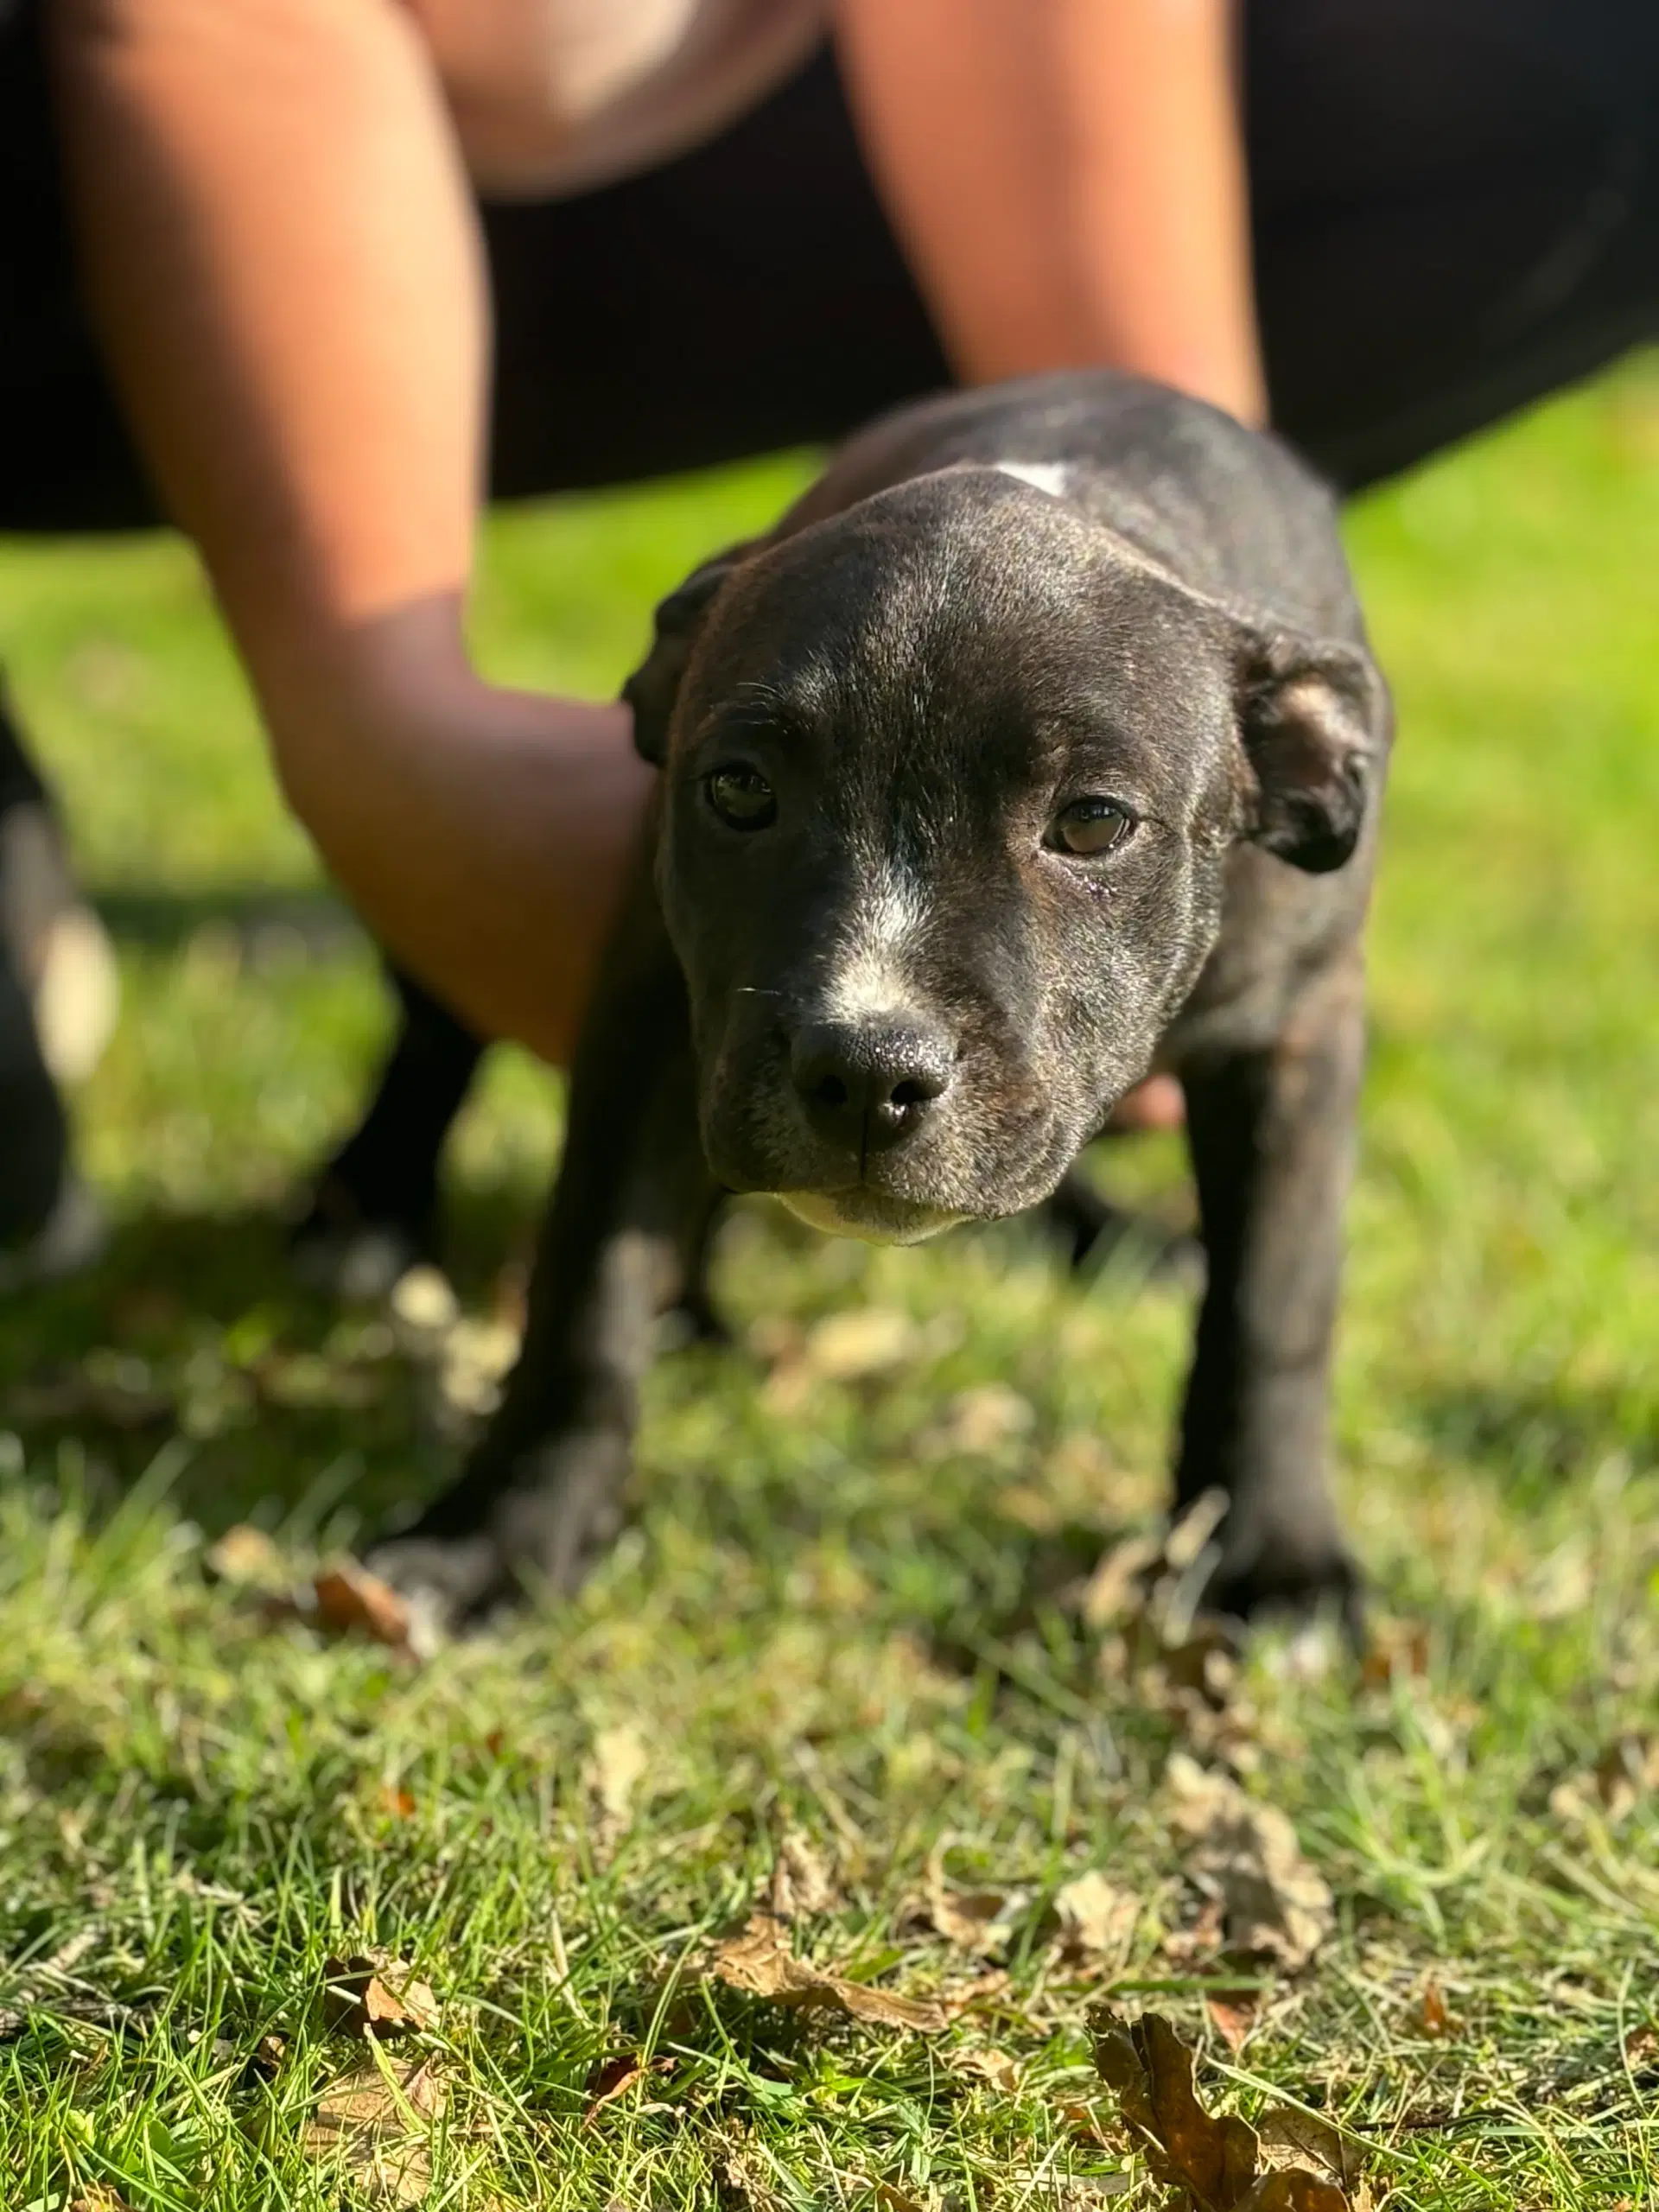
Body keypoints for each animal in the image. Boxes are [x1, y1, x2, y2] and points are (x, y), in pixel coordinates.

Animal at [369, 372, 1397, 1637]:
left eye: (1093, 822)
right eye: (740, 789)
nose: (866, 1071)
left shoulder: (1299, 1035)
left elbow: (1274, 1301)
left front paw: (1274, 1555)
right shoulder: (649, 1008)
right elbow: (587, 1288)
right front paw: (504, 1538)